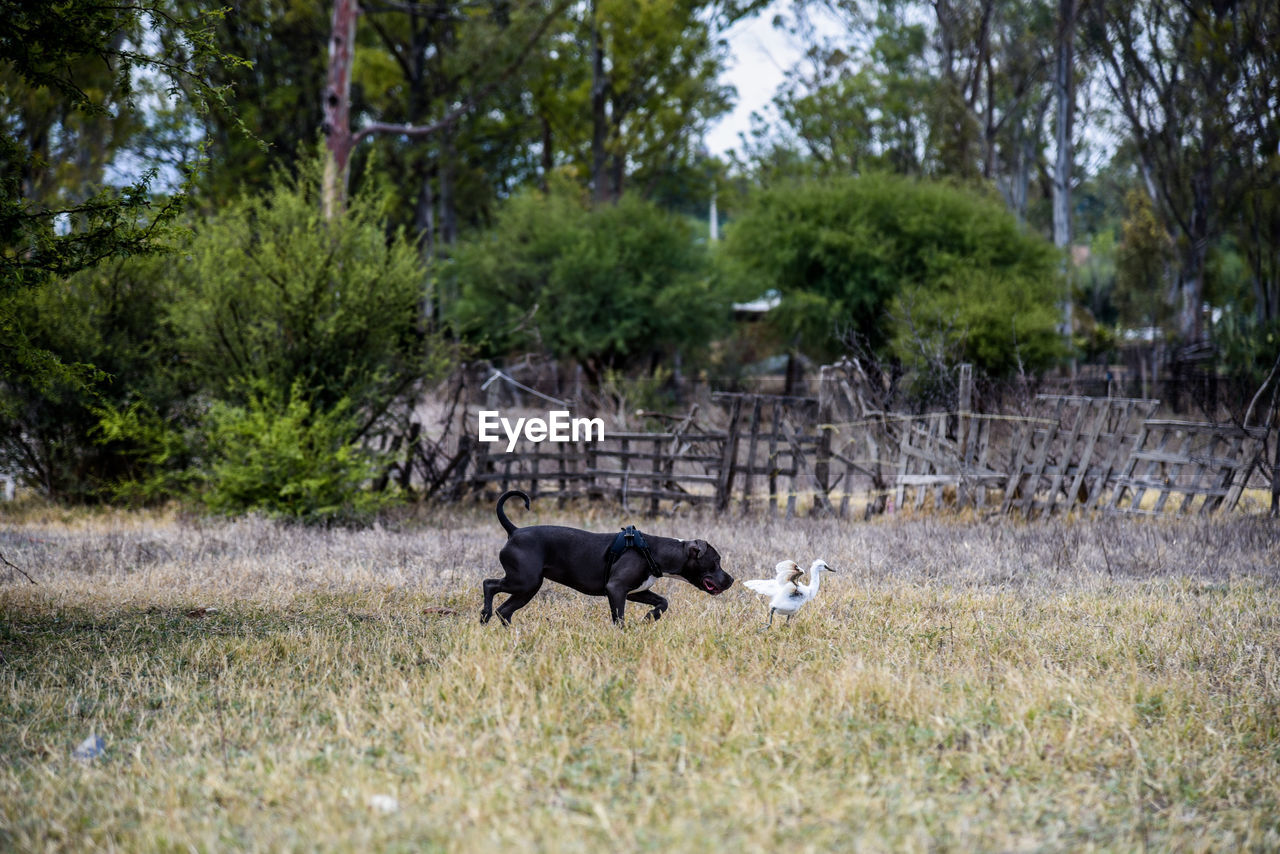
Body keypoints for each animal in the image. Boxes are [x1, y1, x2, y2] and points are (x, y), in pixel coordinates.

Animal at [483, 491, 737, 624]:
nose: (732, 580)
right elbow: (620, 619)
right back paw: (484, 614)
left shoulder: (635, 592)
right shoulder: (616, 589)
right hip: (525, 581)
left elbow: (663, 601)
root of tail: (514, 531)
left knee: (504, 611)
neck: (653, 551)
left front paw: (650, 617)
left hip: (527, 588)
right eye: (716, 561)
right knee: (489, 585)